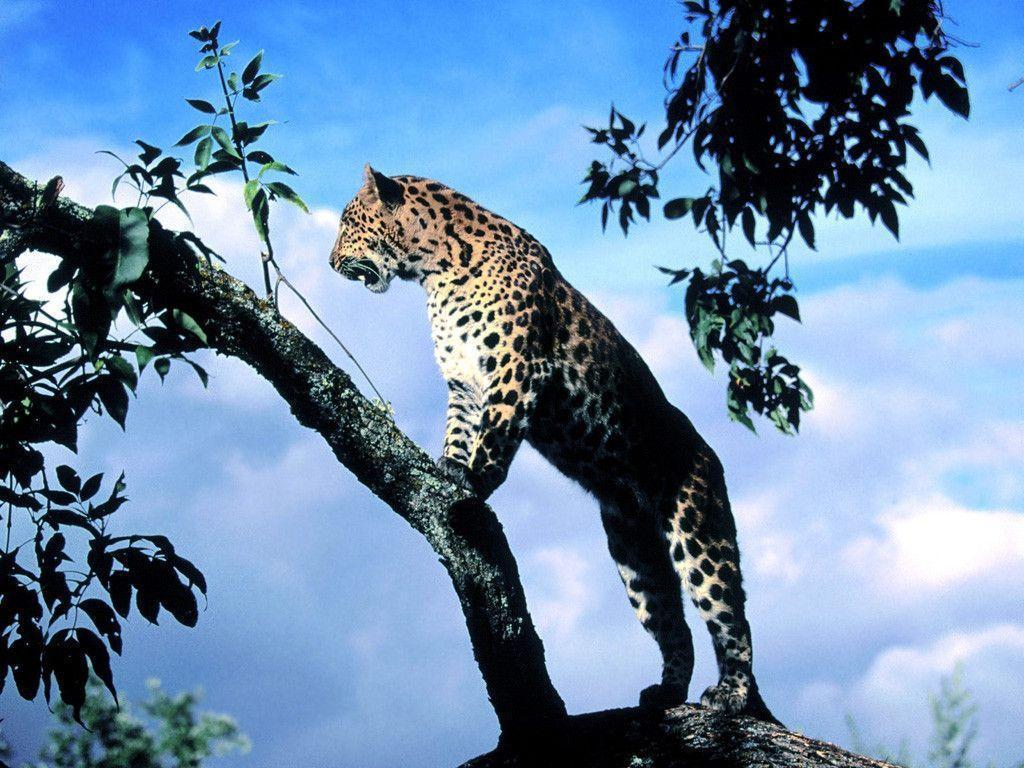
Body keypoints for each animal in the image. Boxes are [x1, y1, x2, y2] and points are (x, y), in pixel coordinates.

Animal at [329, 164, 777, 722]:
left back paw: (732, 694)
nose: (330, 262)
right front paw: (448, 466)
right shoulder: (463, 384)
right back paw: (667, 693)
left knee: (731, 617)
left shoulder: (518, 368)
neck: (435, 270)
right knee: (675, 627)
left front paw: (474, 482)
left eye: (348, 222)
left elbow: (494, 436)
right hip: (634, 557)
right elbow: (459, 431)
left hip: (698, 531)